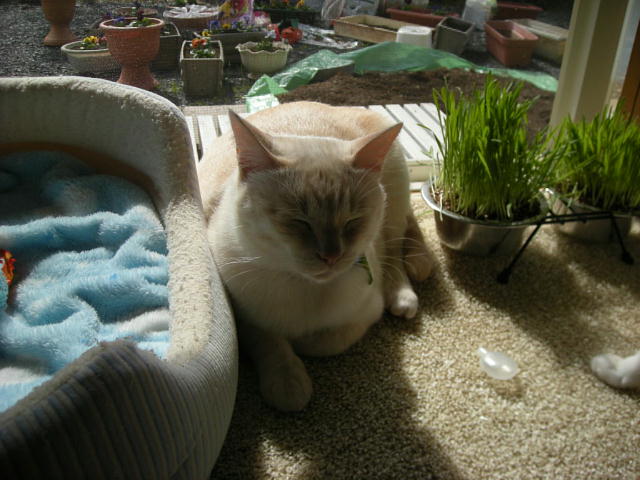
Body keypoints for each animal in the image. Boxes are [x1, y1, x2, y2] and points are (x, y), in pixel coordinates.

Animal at [198, 101, 433, 411]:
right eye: (299, 222)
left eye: (352, 221)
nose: (331, 256)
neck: (305, 288)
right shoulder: (244, 316)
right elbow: (269, 341)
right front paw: (288, 382)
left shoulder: (367, 313)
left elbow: (323, 342)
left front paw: (301, 345)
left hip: (394, 195)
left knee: (397, 243)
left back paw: (403, 297)